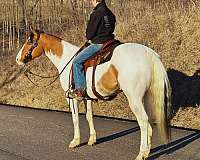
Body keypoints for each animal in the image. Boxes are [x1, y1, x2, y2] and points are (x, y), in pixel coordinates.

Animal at [16, 30, 172, 160]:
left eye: (29, 42)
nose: (17, 59)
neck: (66, 59)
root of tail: (148, 53)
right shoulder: (87, 98)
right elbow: (89, 116)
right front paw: (92, 139)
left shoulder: (71, 99)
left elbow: (75, 119)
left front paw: (75, 141)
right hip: (145, 97)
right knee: (149, 121)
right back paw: (147, 151)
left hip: (134, 99)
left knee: (143, 121)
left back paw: (141, 153)